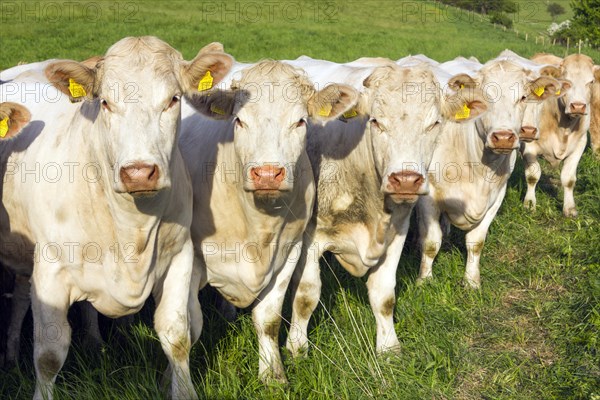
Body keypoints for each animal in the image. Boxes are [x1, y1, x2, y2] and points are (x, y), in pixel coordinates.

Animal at [0, 36, 233, 398]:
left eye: (173, 100)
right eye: (106, 103)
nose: (138, 172)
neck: (131, 228)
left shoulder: (179, 257)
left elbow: (177, 335)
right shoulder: (51, 271)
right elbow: (49, 354)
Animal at [178, 61, 356, 382]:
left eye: (300, 122)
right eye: (239, 121)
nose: (268, 174)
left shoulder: (289, 253)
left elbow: (268, 319)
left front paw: (273, 375)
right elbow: (188, 326)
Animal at [282, 60, 488, 356]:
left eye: (435, 123)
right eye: (376, 121)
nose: (406, 179)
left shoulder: (396, 233)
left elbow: (384, 295)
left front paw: (389, 347)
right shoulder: (310, 238)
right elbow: (306, 296)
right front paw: (297, 347)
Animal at [418, 56, 564, 288]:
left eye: (523, 97)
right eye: (484, 98)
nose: (503, 137)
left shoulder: (496, 196)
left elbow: (476, 242)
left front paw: (471, 281)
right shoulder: (428, 197)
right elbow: (431, 242)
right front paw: (424, 281)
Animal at [520, 54, 600, 216]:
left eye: (591, 82)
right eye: (567, 82)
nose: (578, 106)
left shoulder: (579, 144)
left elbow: (568, 179)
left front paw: (569, 209)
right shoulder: (528, 143)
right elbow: (532, 176)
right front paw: (529, 205)